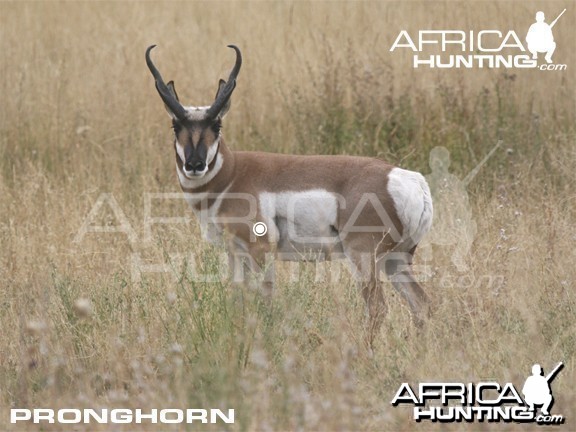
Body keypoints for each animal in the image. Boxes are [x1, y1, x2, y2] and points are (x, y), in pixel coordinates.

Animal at [146, 44, 434, 338]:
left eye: (216, 125)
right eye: (176, 125)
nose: (195, 165)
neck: (233, 174)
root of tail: (410, 179)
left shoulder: (260, 250)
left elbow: (265, 299)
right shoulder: (235, 252)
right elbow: (238, 300)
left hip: (364, 257)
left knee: (378, 307)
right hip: (396, 260)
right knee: (422, 304)